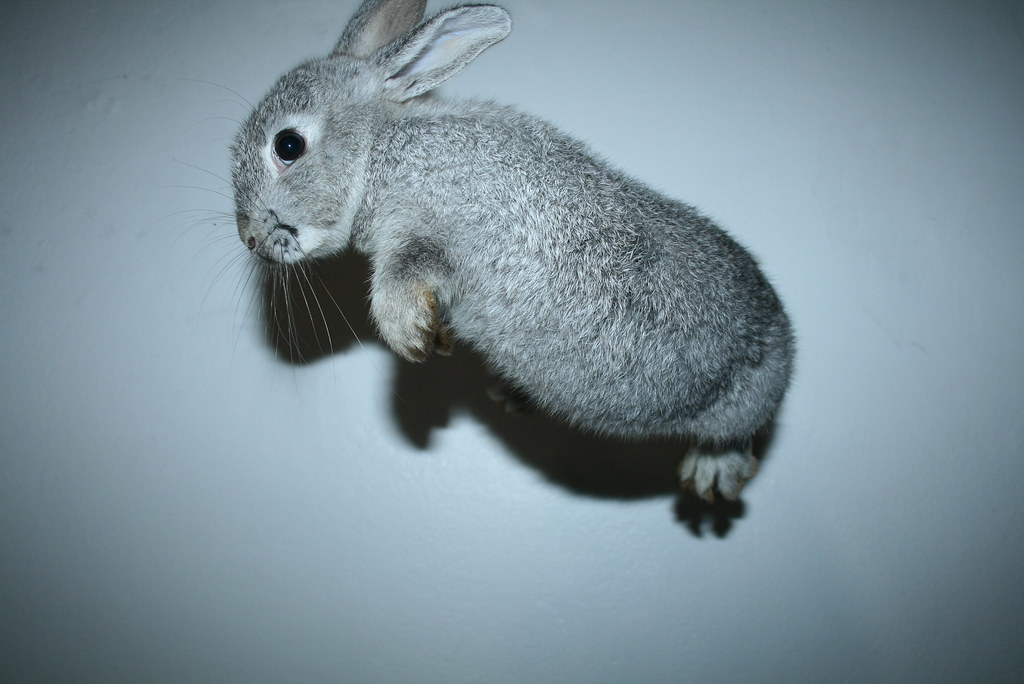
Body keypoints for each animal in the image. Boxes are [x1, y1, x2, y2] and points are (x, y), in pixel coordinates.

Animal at [230, 0, 795, 502]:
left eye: (287, 145)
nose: (250, 237)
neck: (376, 154)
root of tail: (785, 346)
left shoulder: (435, 228)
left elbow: (406, 272)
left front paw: (410, 335)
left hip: (741, 399)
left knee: (740, 432)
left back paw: (713, 472)